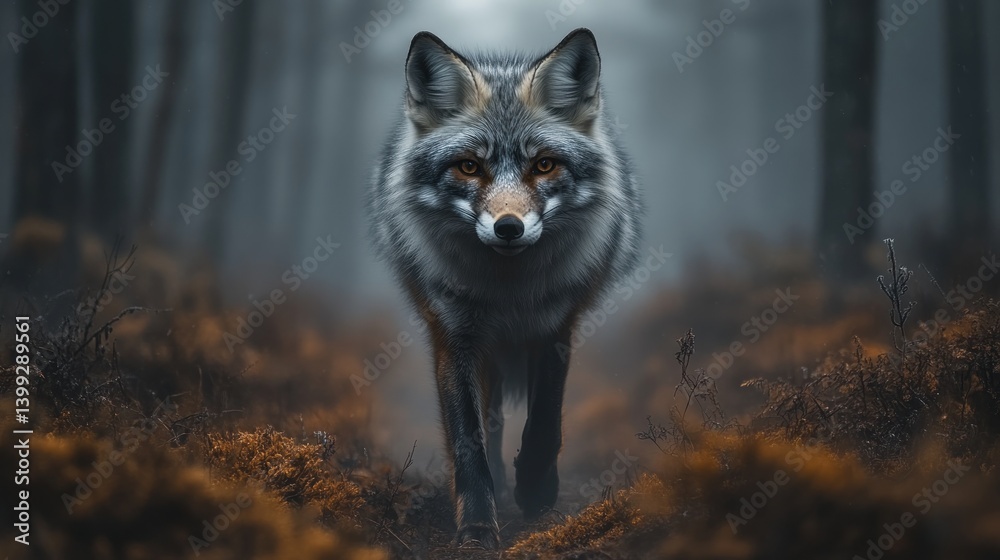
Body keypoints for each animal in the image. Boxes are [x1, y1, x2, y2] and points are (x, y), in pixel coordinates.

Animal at [368, 28, 642, 548]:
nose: (508, 227)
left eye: (545, 165)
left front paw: (536, 489)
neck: (507, 294)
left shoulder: (555, 325)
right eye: (470, 167)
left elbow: (545, 422)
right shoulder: (453, 335)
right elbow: (468, 439)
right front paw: (477, 524)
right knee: (490, 422)